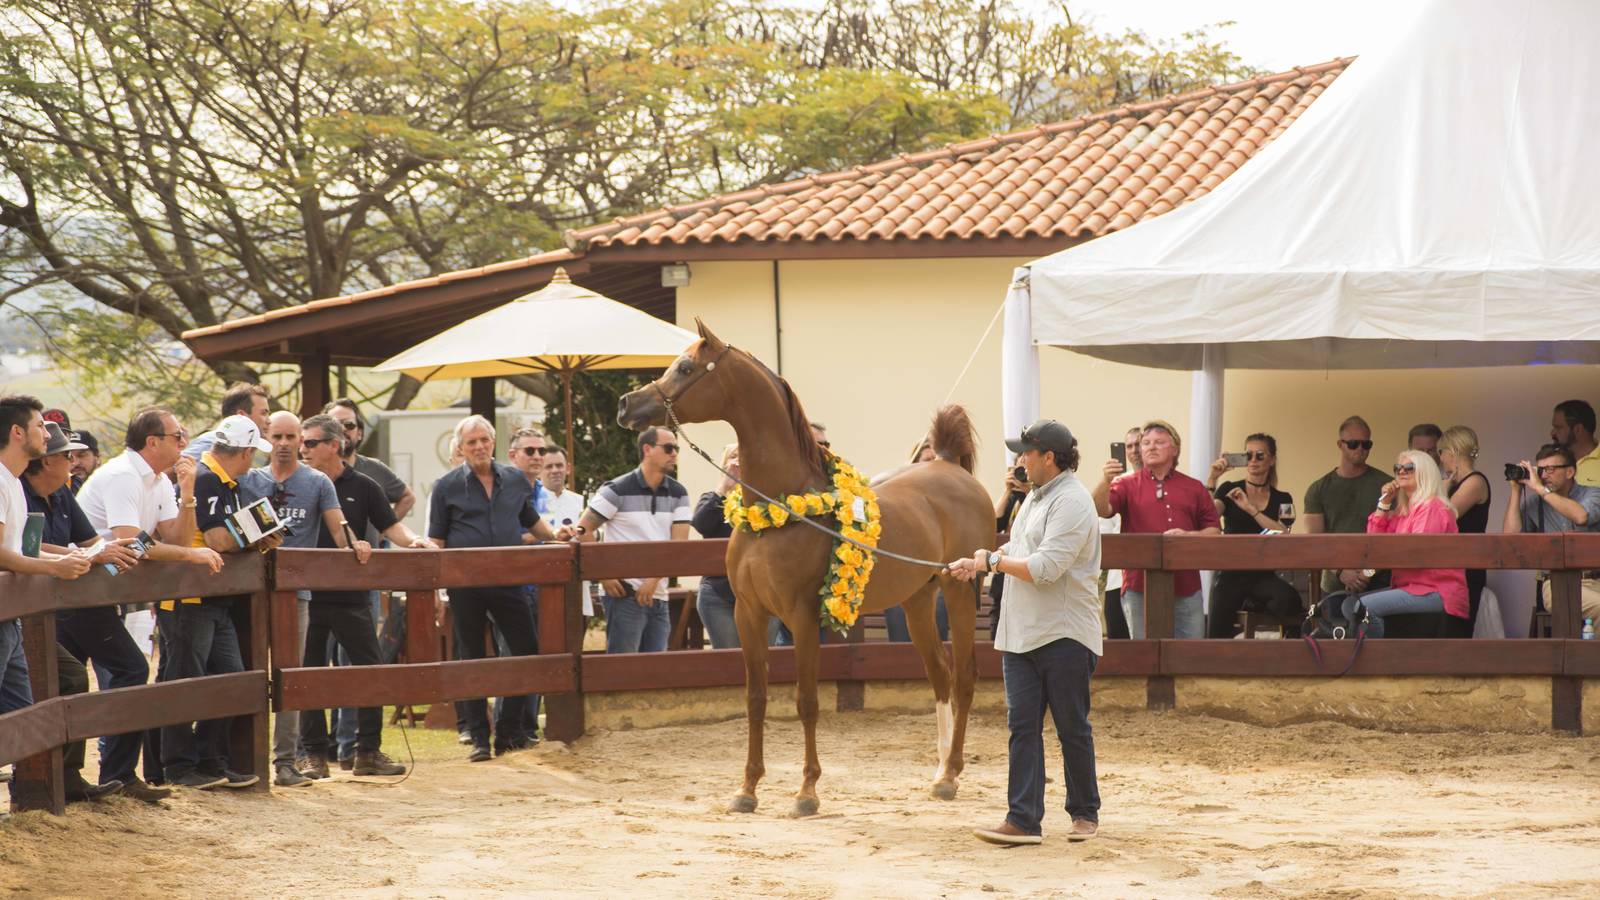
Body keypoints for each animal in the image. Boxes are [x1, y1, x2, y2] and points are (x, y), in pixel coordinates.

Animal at [617, 320, 996, 818]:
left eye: (684, 367)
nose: (627, 405)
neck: (778, 509)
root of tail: (951, 469)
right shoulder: (748, 614)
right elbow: (756, 699)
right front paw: (747, 789)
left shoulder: (801, 617)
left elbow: (806, 701)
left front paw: (806, 792)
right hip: (917, 601)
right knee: (941, 675)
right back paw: (938, 773)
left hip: (959, 590)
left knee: (966, 676)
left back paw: (951, 776)